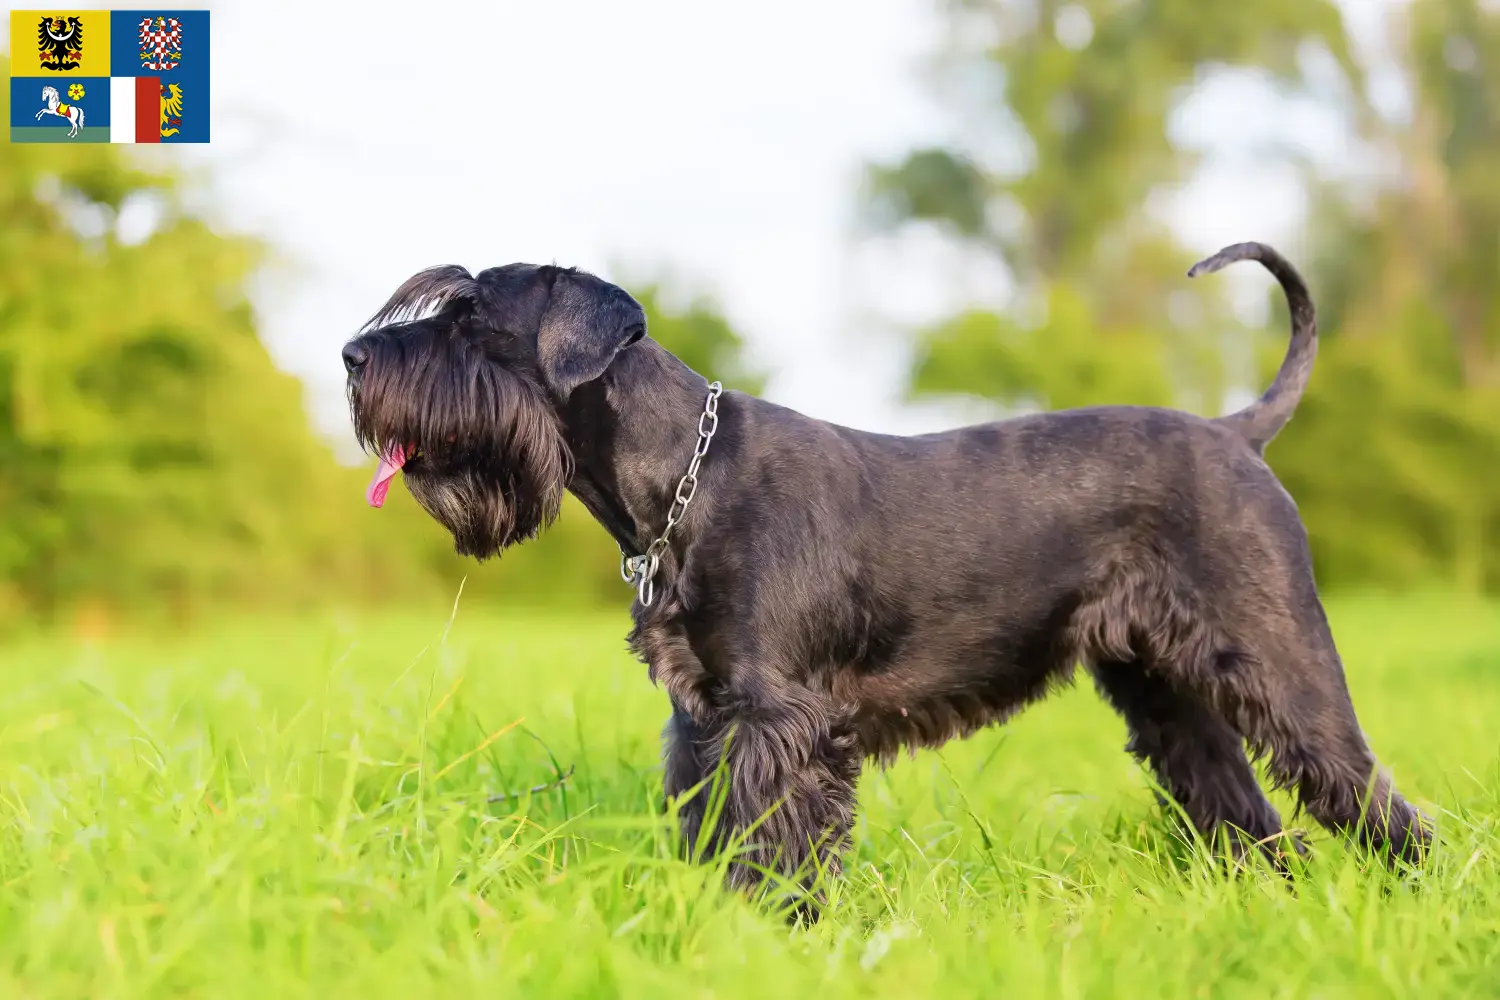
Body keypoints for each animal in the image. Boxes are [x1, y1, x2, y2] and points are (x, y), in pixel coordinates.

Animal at [343, 242, 1428, 899]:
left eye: (472, 320)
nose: (354, 356)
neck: (682, 473)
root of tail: (1236, 431)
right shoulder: (704, 719)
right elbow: (709, 829)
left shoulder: (782, 720)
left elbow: (775, 842)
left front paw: (769, 929)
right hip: (1166, 692)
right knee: (1244, 811)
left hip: (1283, 660)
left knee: (1366, 792)